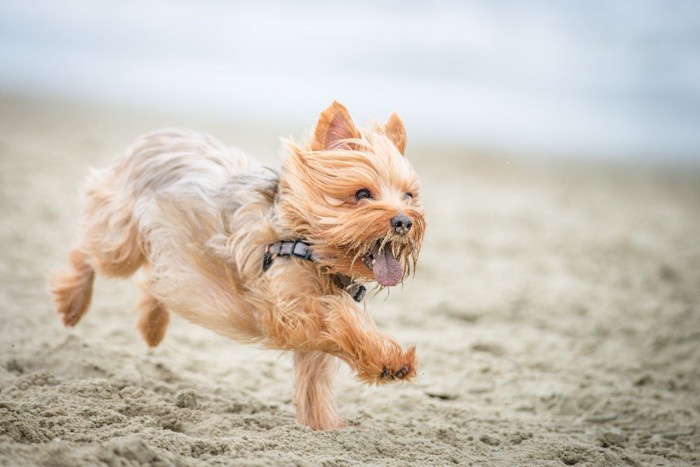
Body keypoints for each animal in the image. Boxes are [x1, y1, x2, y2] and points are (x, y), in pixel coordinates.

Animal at [50, 102, 426, 432]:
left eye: (408, 196)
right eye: (362, 194)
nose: (404, 222)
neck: (304, 240)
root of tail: (159, 134)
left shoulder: (309, 335)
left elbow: (314, 385)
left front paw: (325, 427)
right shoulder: (285, 307)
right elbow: (340, 316)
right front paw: (388, 361)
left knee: (157, 281)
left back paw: (151, 325)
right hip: (121, 238)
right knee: (88, 251)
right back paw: (72, 302)